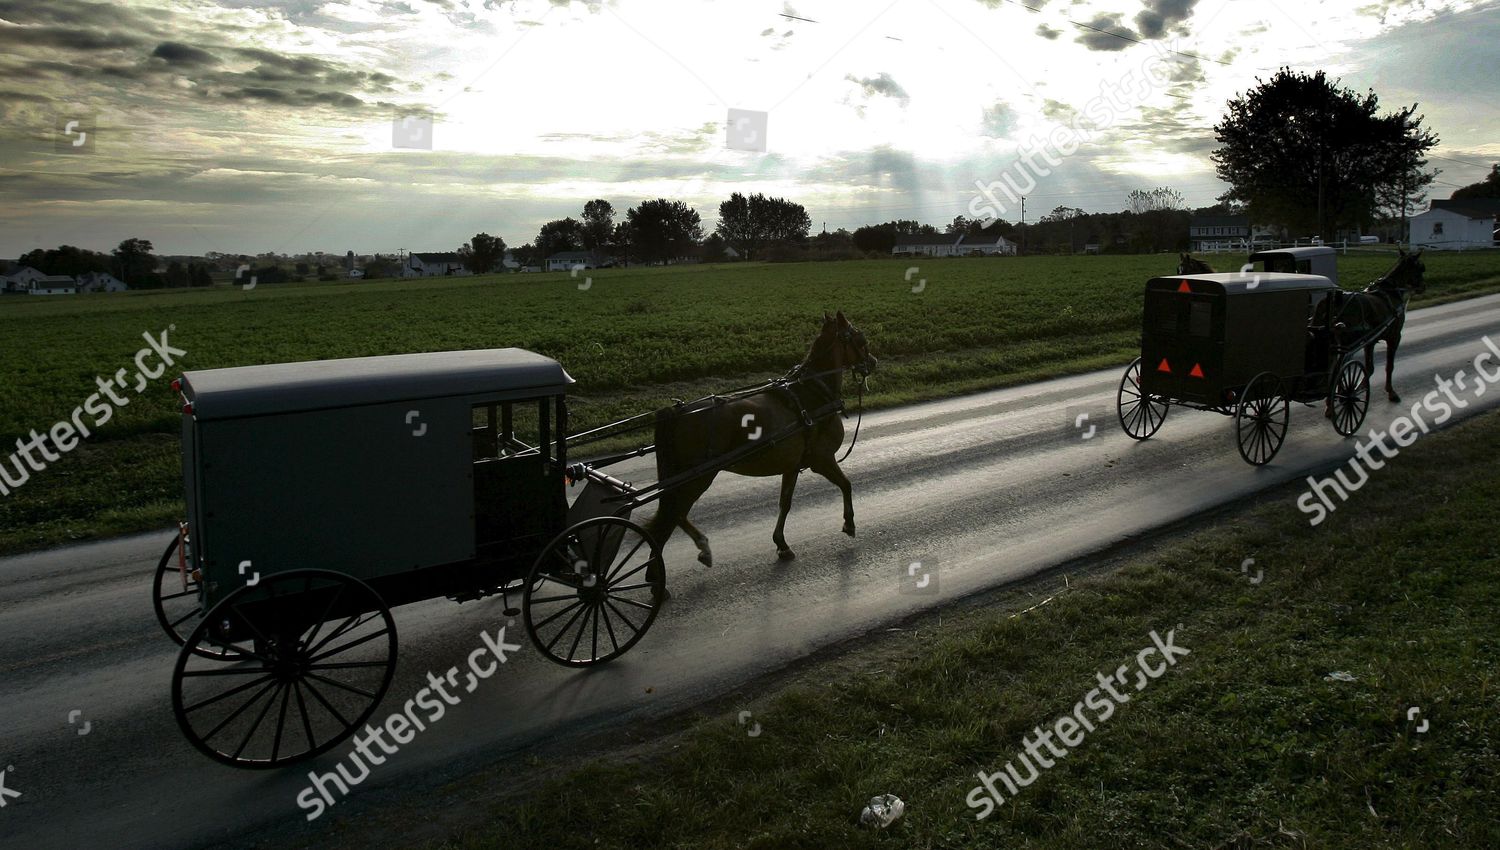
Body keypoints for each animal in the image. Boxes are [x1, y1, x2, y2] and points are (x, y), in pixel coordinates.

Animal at [642, 313, 876, 566]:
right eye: (860, 338)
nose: (873, 361)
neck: (812, 393)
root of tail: (678, 412)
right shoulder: (822, 460)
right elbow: (846, 484)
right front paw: (849, 523)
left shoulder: (792, 466)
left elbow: (785, 502)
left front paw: (781, 543)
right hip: (698, 477)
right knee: (672, 516)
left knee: (673, 515)